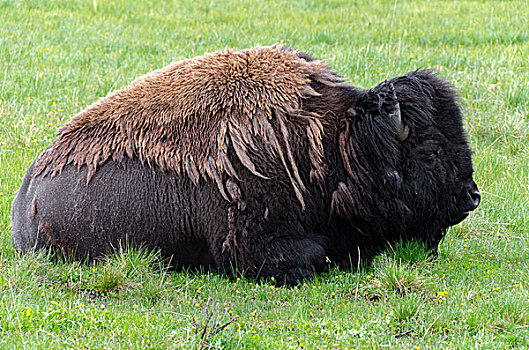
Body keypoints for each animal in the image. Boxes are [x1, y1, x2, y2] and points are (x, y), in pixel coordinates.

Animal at [10, 44, 480, 284]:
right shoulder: (253, 249)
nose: (472, 196)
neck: (333, 140)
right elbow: (313, 254)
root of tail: (25, 195)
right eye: (429, 151)